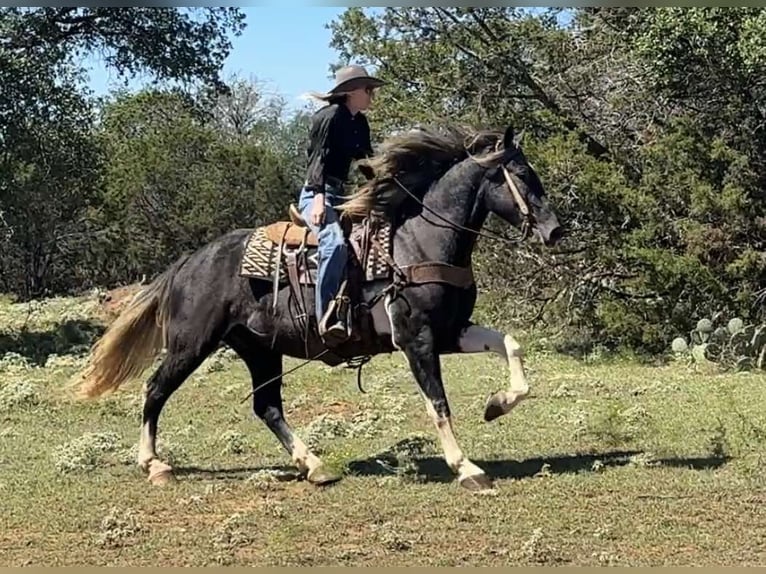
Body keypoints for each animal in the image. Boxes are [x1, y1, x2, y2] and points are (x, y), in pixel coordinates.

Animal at [73, 125, 564, 496]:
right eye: (522, 173)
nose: (555, 230)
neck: (418, 243)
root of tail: (189, 262)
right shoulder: (417, 337)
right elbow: (438, 404)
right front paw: (467, 468)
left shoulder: (451, 330)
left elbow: (510, 345)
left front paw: (498, 404)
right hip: (191, 344)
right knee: (156, 389)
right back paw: (154, 464)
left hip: (260, 350)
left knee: (267, 407)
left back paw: (313, 464)